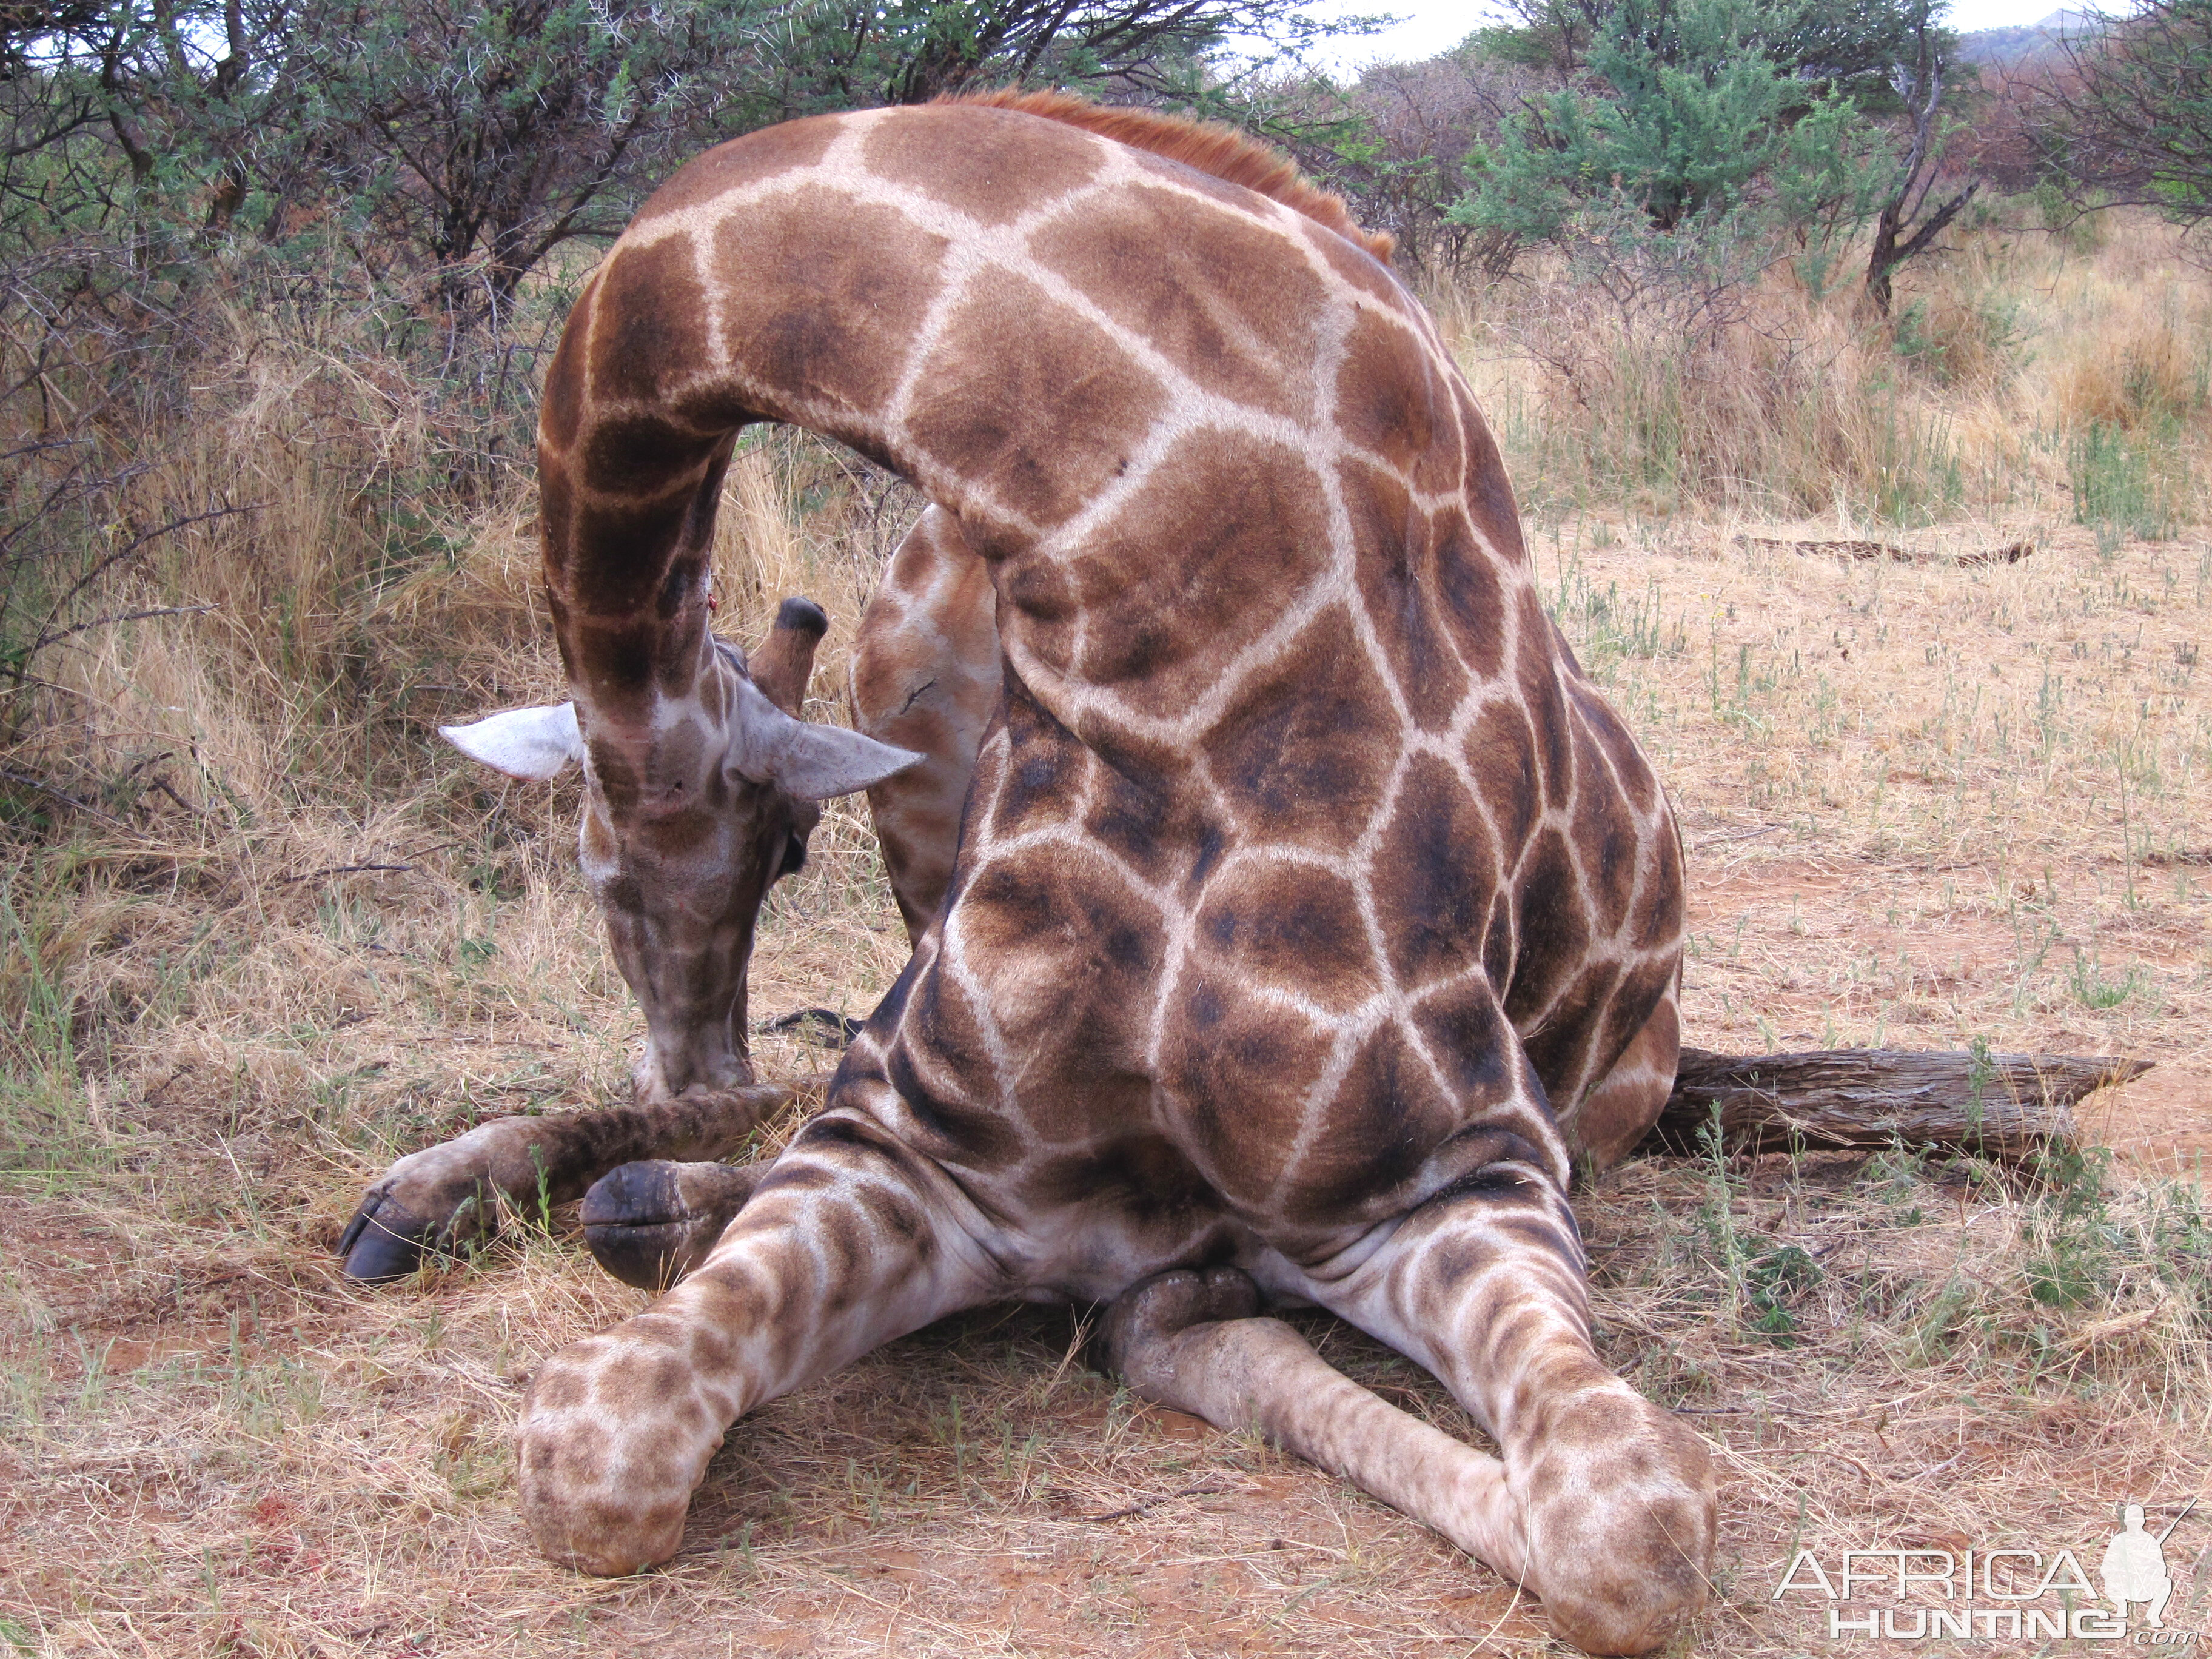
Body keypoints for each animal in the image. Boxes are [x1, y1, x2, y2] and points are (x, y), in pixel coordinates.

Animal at [371, 94, 1716, 1659]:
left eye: (786, 846)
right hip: (903, 667)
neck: (1168, 614)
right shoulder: (918, 1151)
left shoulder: (1463, 1172)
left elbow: (1627, 1525)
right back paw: (465, 1193)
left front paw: (1192, 1280)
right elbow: (595, 1450)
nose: (683, 1047)